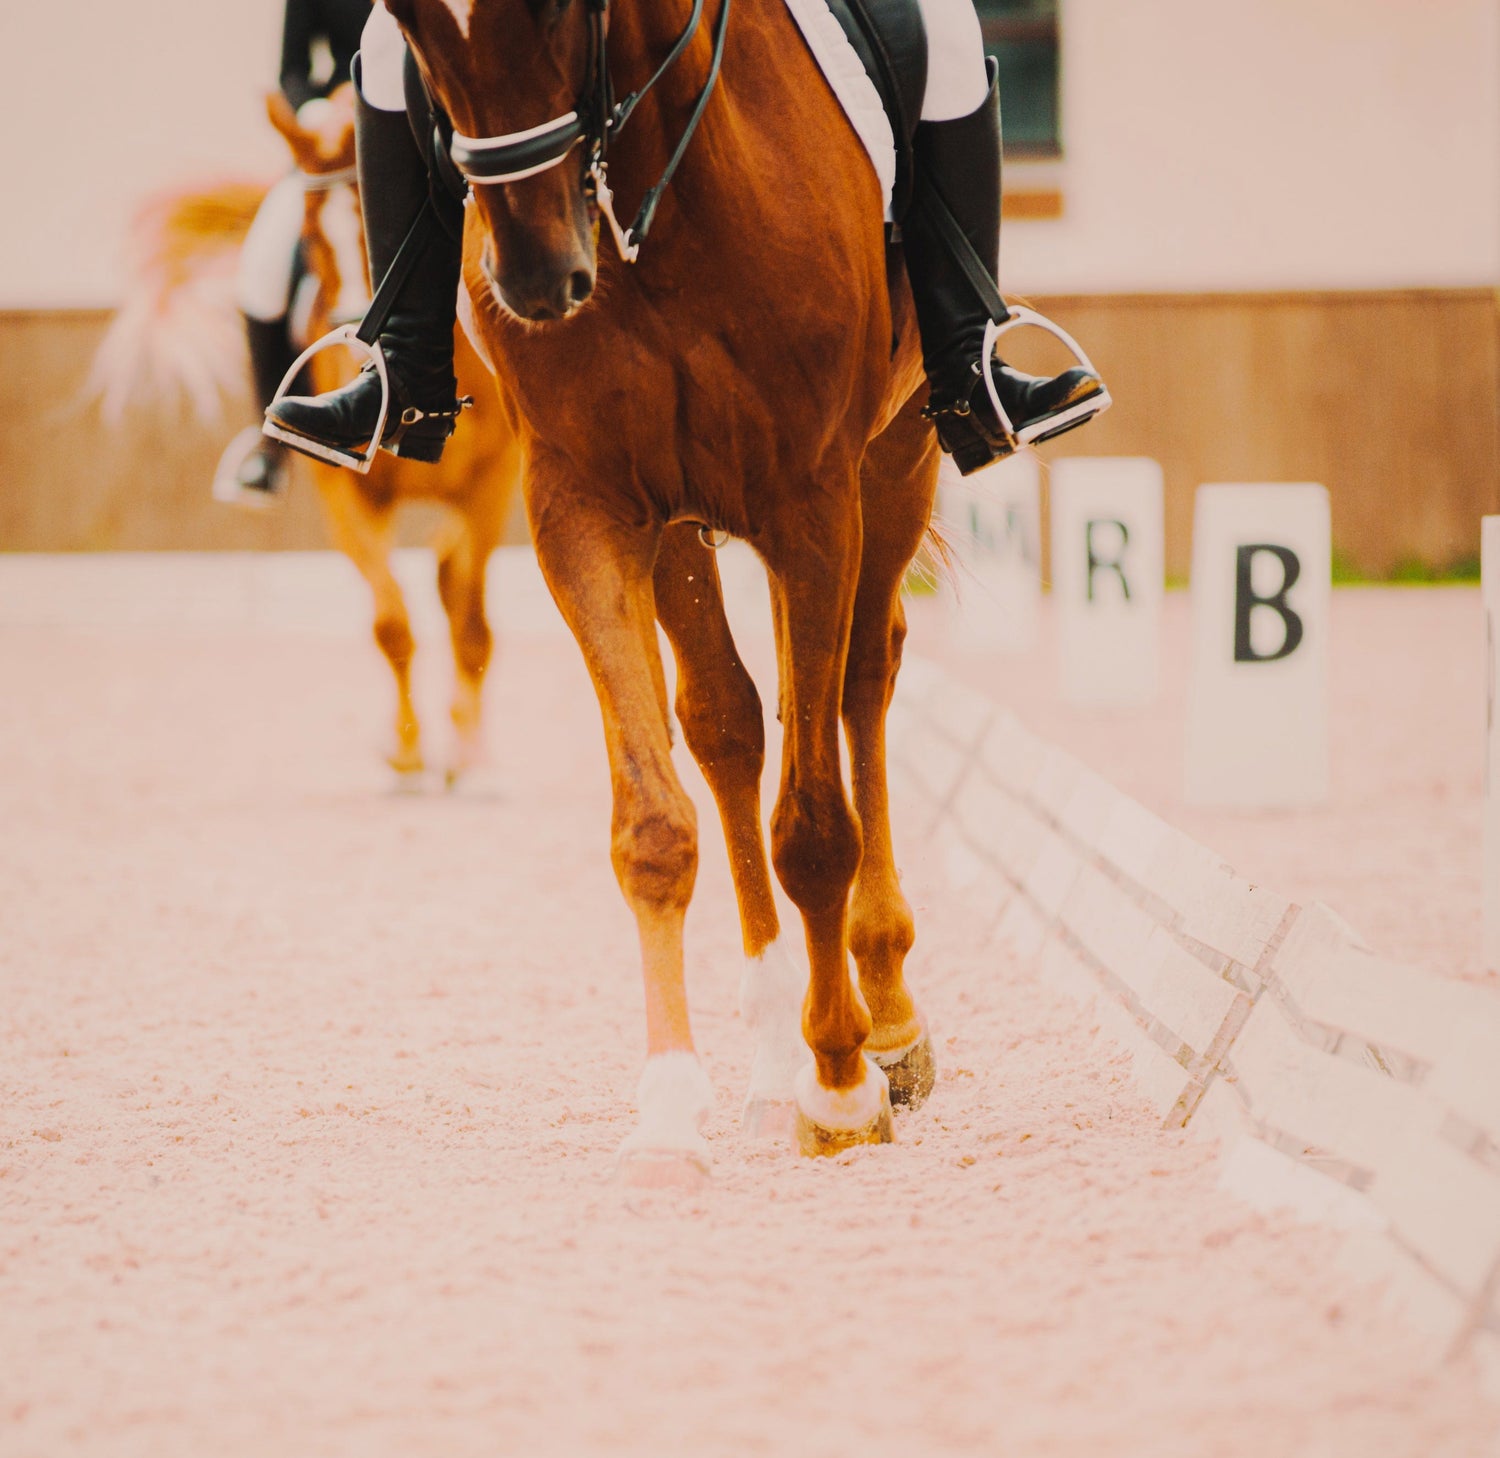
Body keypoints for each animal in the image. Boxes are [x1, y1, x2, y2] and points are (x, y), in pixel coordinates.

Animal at [90, 85, 524, 785]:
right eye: (314, 238)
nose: (358, 350)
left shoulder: (490, 484)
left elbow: (470, 619)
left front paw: (469, 757)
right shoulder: (345, 496)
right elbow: (391, 622)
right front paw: (406, 751)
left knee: (451, 579)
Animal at [387, 0, 942, 1174]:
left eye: (558, 9)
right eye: (408, 26)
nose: (537, 274)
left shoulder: (813, 500)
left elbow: (815, 826)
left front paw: (841, 1089)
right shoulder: (589, 512)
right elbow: (654, 822)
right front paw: (672, 1106)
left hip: (896, 457)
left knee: (861, 684)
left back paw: (884, 1023)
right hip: (694, 528)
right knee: (730, 723)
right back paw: (776, 1057)